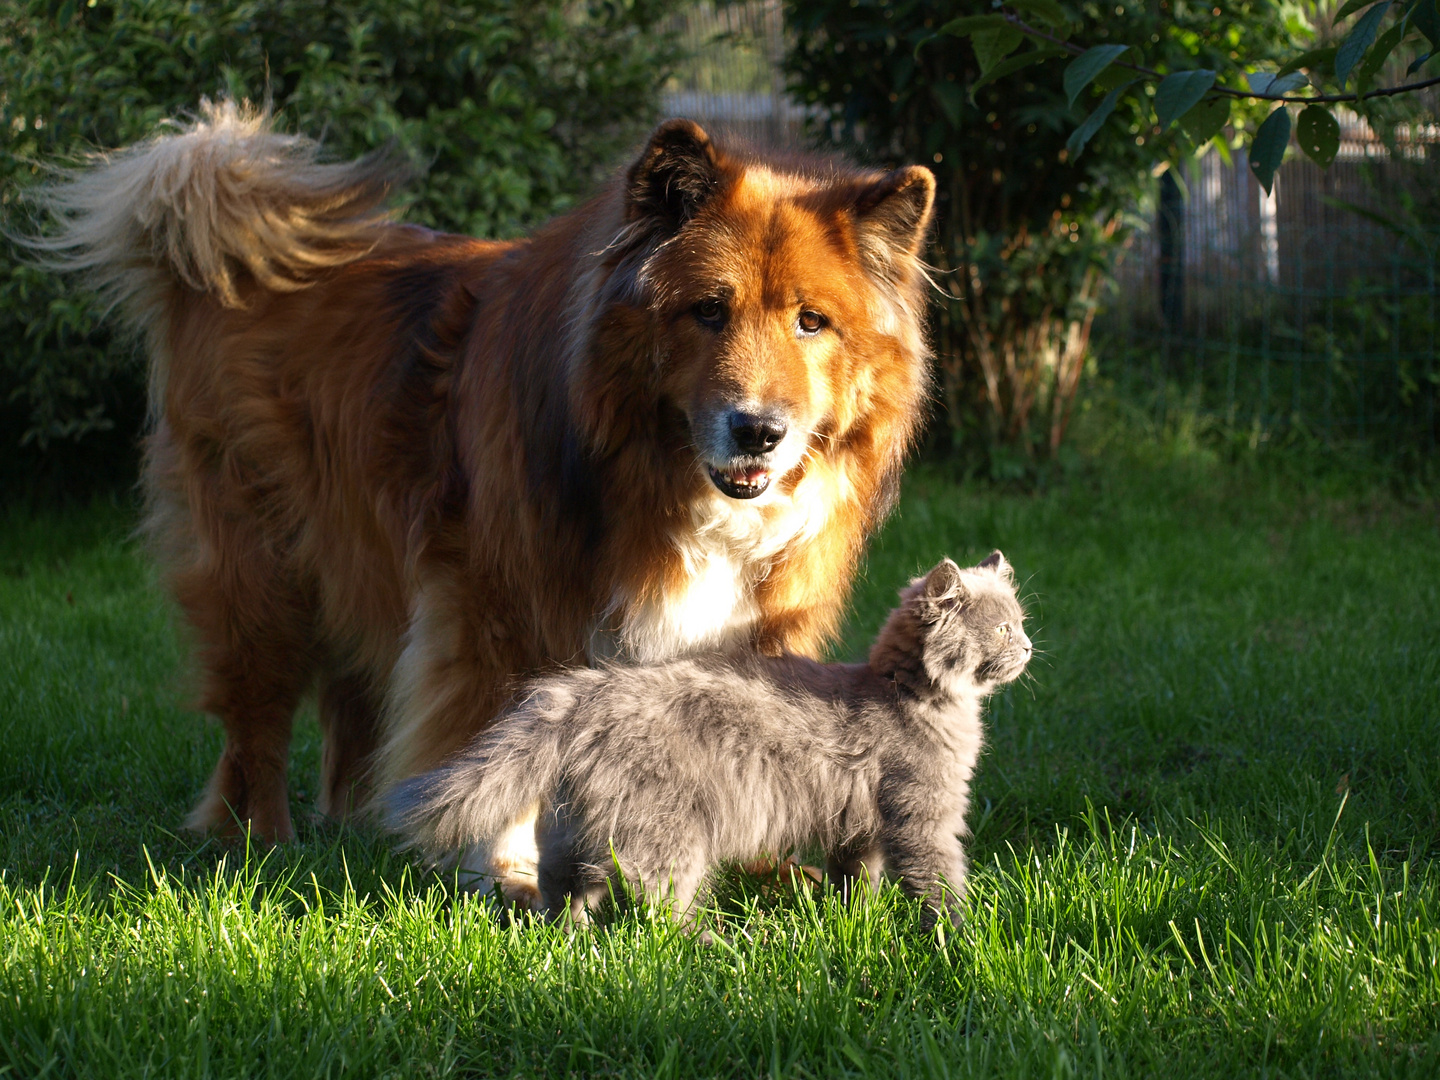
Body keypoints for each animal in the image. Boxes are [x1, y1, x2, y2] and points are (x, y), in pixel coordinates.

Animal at [33, 97, 938, 887]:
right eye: (708, 311)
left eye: (811, 322)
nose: (759, 431)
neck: (653, 475)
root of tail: (225, 258)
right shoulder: (492, 605)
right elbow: (495, 748)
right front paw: (502, 872)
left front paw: (759, 869)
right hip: (262, 571)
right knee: (256, 718)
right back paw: (261, 840)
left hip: (359, 558)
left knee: (350, 699)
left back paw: (354, 825)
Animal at [388, 552, 1031, 933]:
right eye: (1003, 628)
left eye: (1020, 622)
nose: (1028, 647)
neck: (909, 695)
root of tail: (586, 693)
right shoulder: (923, 818)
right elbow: (939, 881)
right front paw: (958, 935)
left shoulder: (860, 825)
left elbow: (856, 876)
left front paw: (854, 923)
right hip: (669, 830)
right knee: (659, 902)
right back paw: (710, 943)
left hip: (578, 823)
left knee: (567, 883)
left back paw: (569, 937)